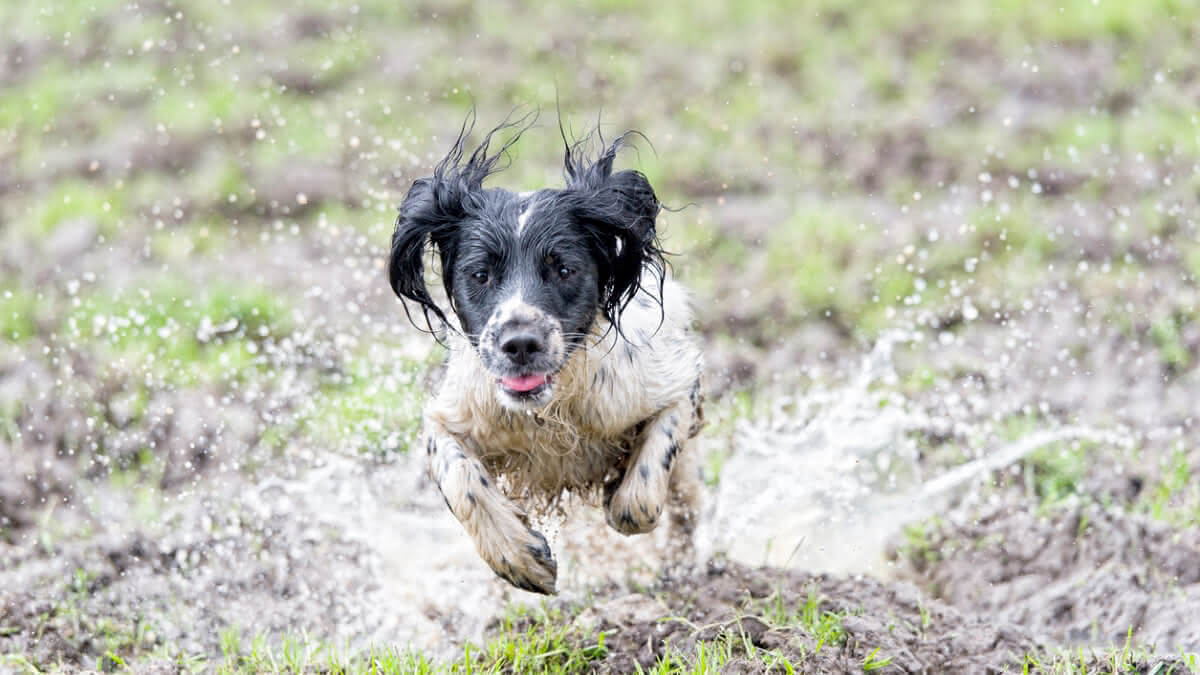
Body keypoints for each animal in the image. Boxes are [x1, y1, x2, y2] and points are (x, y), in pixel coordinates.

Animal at [384, 117, 700, 593]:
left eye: (564, 269)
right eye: (480, 274)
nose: (519, 343)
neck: (551, 411)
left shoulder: (676, 387)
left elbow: (642, 493)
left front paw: (619, 494)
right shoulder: (453, 415)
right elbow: (459, 478)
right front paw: (518, 557)